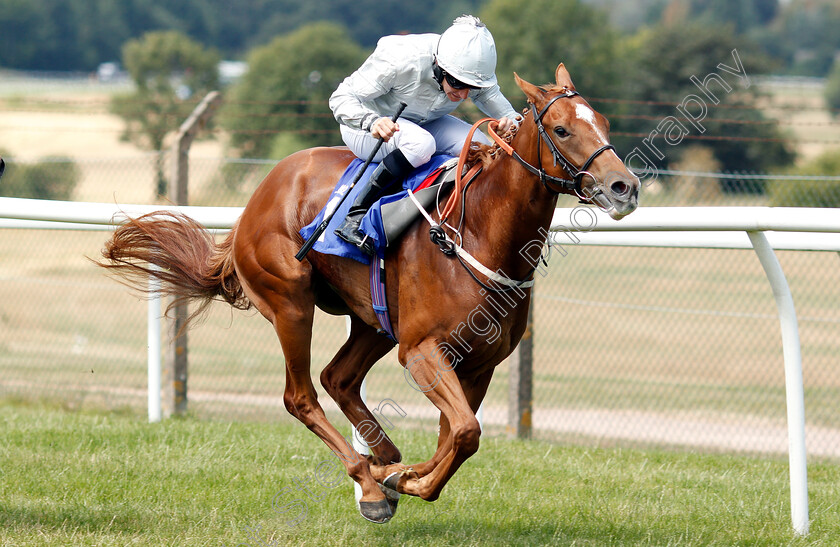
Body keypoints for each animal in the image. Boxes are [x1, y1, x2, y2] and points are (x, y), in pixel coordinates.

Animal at [98, 64, 636, 524]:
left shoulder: (479, 363)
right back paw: (369, 484)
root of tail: (257, 198)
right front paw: (399, 481)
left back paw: (382, 463)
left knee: (338, 378)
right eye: (562, 130)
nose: (624, 186)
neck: (478, 234)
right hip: (291, 303)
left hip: (374, 321)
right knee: (301, 396)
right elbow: (464, 433)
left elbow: (454, 437)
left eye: (604, 122)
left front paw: (403, 475)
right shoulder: (421, 351)